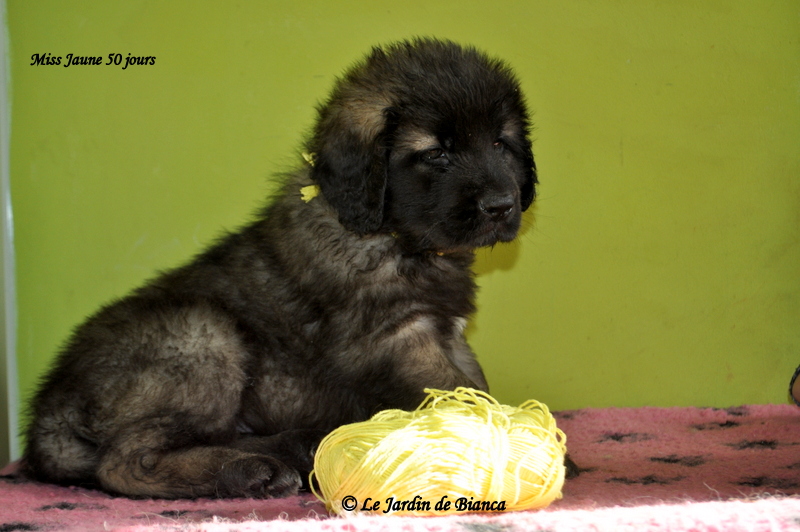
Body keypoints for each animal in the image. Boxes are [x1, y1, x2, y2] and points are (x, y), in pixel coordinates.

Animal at [24, 38, 538, 499]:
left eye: (500, 143)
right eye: (436, 153)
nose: (502, 205)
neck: (391, 237)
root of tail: (48, 417)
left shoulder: (447, 333)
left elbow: (477, 385)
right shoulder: (399, 337)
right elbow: (461, 391)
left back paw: (292, 450)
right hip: (202, 337)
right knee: (124, 463)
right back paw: (248, 473)